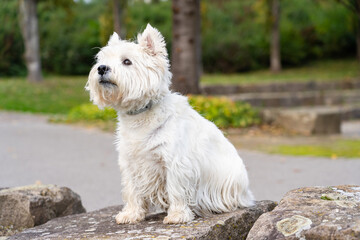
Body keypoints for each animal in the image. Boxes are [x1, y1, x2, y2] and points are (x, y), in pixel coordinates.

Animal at [86, 23, 255, 224]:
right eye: (102, 60)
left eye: (127, 61)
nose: (101, 68)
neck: (140, 116)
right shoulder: (131, 162)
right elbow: (132, 189)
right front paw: (131, 214)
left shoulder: (175, 162)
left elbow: (176, 189)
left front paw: (177, 215)